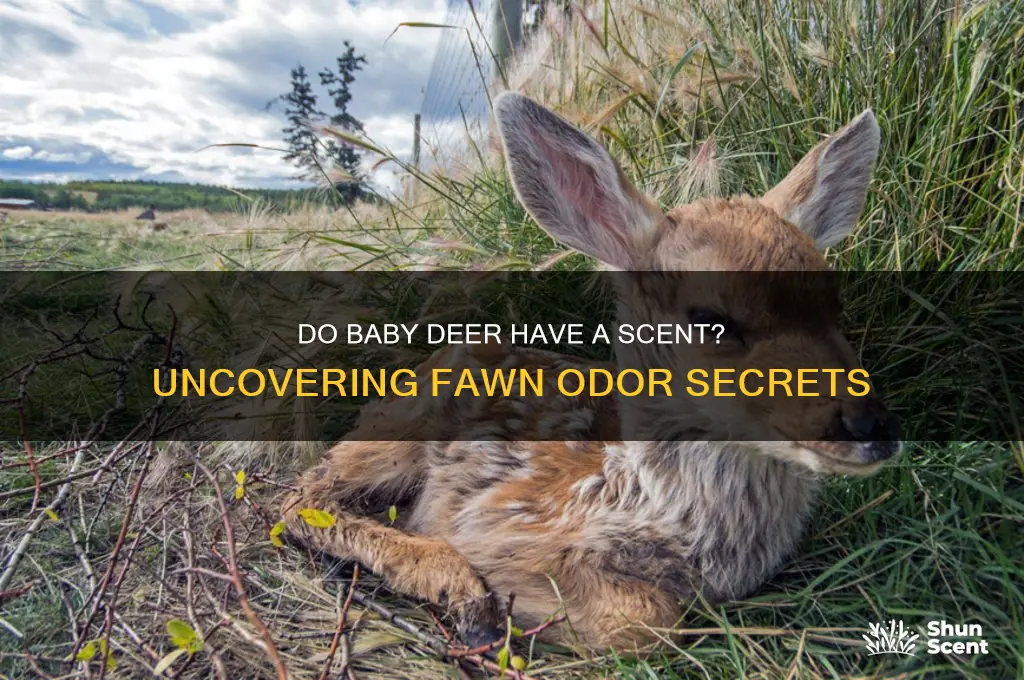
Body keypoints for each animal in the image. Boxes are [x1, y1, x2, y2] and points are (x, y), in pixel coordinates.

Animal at [281, 92, 902, 650]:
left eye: (834, 306)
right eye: (711, 320)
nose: (870, 426)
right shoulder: (500, 520)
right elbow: (643, 622)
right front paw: (522, 609)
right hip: (401, 433)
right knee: (300, 497)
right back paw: (456, 588)